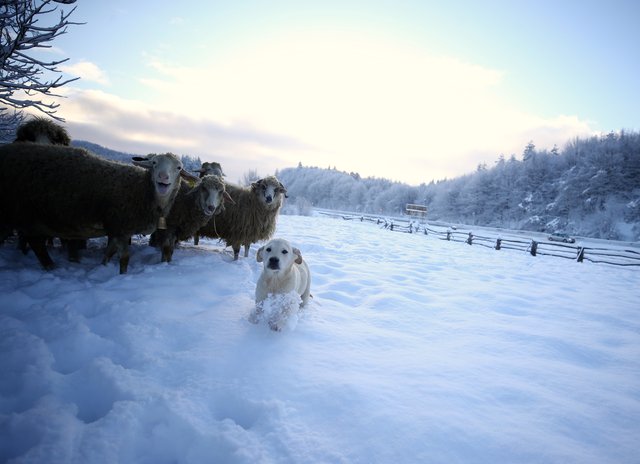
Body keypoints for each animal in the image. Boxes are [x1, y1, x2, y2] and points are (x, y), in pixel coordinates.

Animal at [0, 145, 194, 274]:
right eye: (154, 163)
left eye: (179, 168)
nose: (163, 177)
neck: (143, 191)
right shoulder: (121, 226)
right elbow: (124, 258)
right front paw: (122, 276)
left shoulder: (116, 228)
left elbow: (109, 251)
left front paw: (103, 265)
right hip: (24, 213)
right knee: (36, 243)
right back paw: (50, 267)